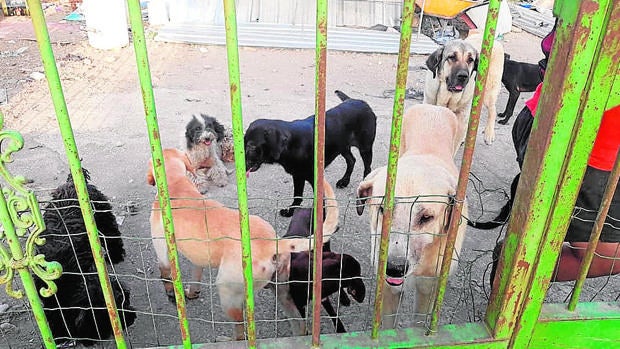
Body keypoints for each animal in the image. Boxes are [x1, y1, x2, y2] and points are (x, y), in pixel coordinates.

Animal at [36, 169, 136, 346]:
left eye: (123, 300)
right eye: (108, 318)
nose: (132, 317)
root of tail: (71, 182)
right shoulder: (50, 296)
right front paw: (59, 332)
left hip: (104, 217)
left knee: (112, 235)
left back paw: (115, 256)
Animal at [146, 147, 340, 340]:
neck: (175, 182)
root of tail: (272, 243)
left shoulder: (162, 248)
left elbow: (165, 273)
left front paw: (171, 293)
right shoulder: (198, 259)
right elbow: (195, 277)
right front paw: (192, 293)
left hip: (228, 293)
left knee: (241, 331)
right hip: (283, 292)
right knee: (299, 324)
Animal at [245, 89, 376, 215]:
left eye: (252, 146)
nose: (241, 166)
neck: (292, 145)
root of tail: (359, 101)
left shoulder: (314, 179)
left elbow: (318, 202)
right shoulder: (298, 175)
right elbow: (297, 196)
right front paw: (291, 212)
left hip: (365, 147)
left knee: (367, 168)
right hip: (343, 146)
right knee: (351, 160)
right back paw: (344, 181)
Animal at [356, 104, 468, 328]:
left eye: (426, 218)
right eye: (383, 210)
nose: (394, 268)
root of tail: (433, 107)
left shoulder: (428, 289)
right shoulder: (389, 289)